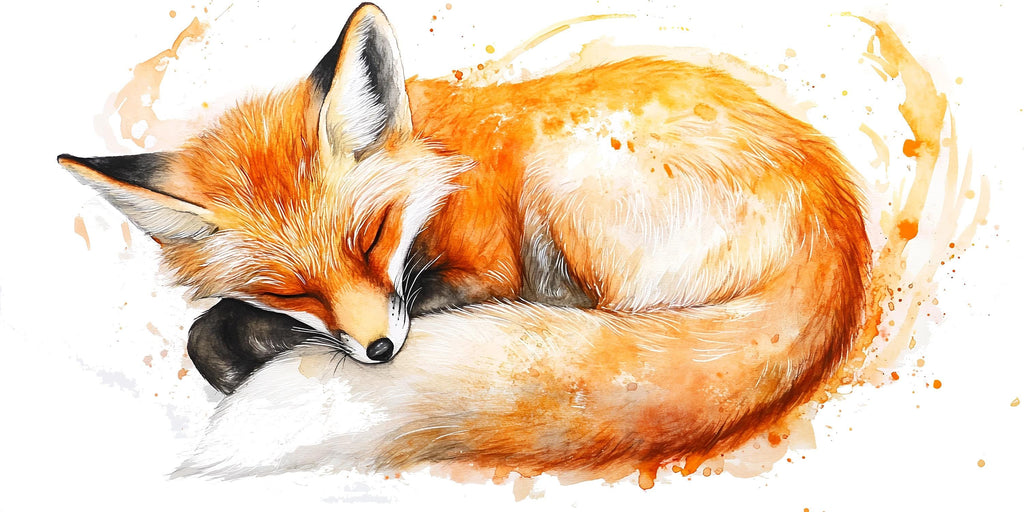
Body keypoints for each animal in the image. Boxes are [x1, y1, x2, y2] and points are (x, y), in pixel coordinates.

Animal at [58, 3, 870, 480]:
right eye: (290, 287)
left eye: (371, 237)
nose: (380, 353)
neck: (442, 154)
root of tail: (839, 235)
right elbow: (212, 330)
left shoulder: (487, 270)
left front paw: (255, 347)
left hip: (565, 180)